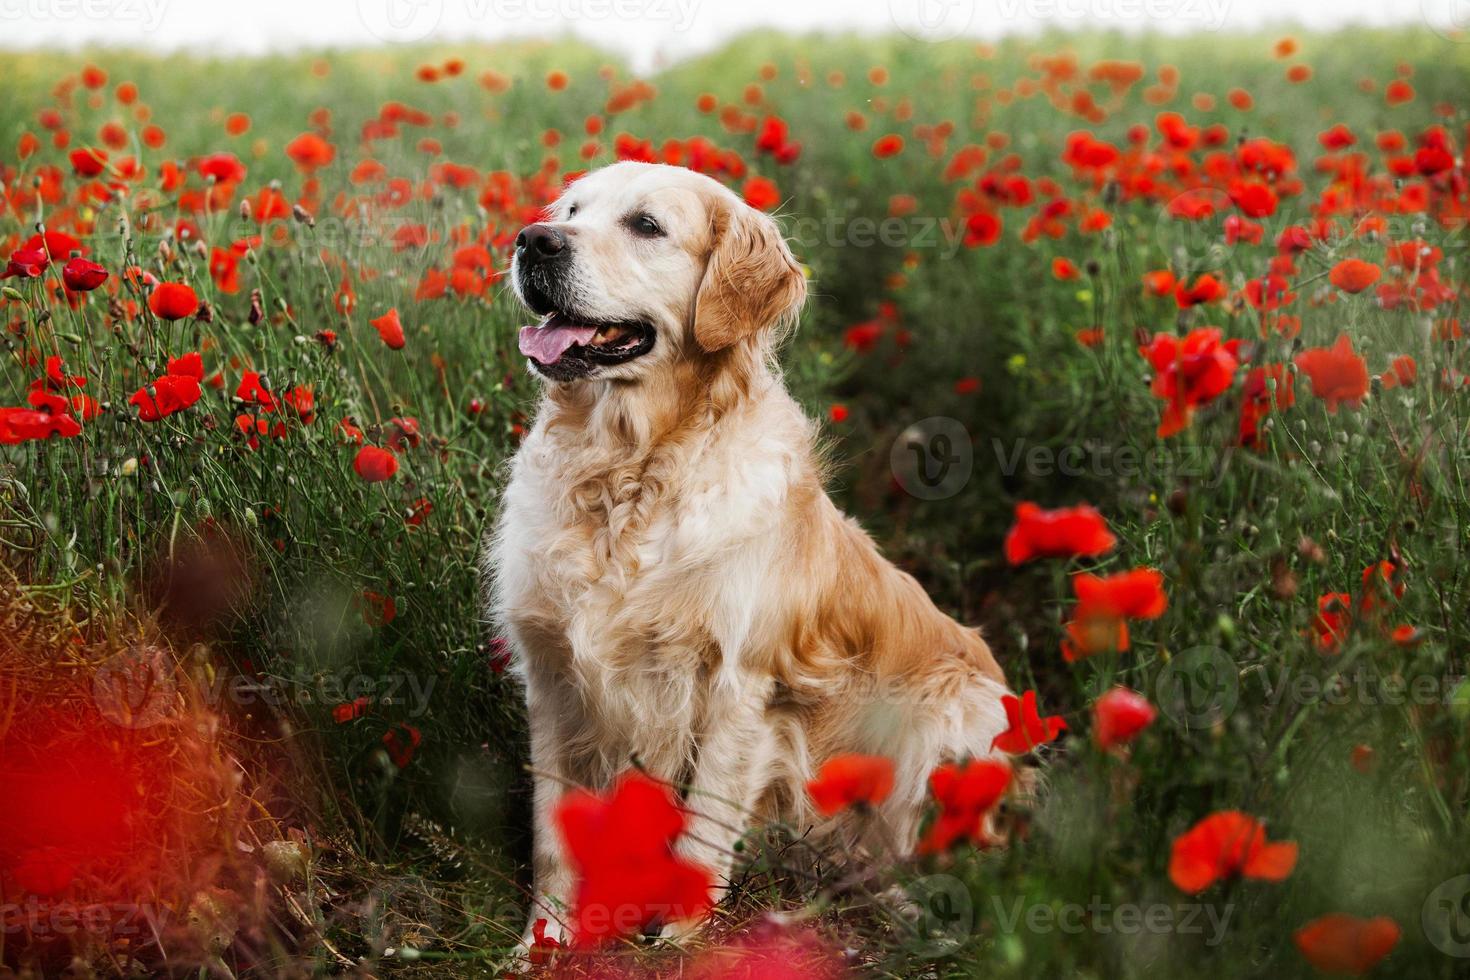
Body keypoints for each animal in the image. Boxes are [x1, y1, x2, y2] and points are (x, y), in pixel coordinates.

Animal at [488, 160, 1017, 940]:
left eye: (646, 225)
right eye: (571, 212)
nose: (533, 241)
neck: (628, 472)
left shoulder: (740, 686)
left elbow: (701, 833)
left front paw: (677, 945)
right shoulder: (554, 672)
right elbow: (554, 836)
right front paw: (543, 944)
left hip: (951, 714)